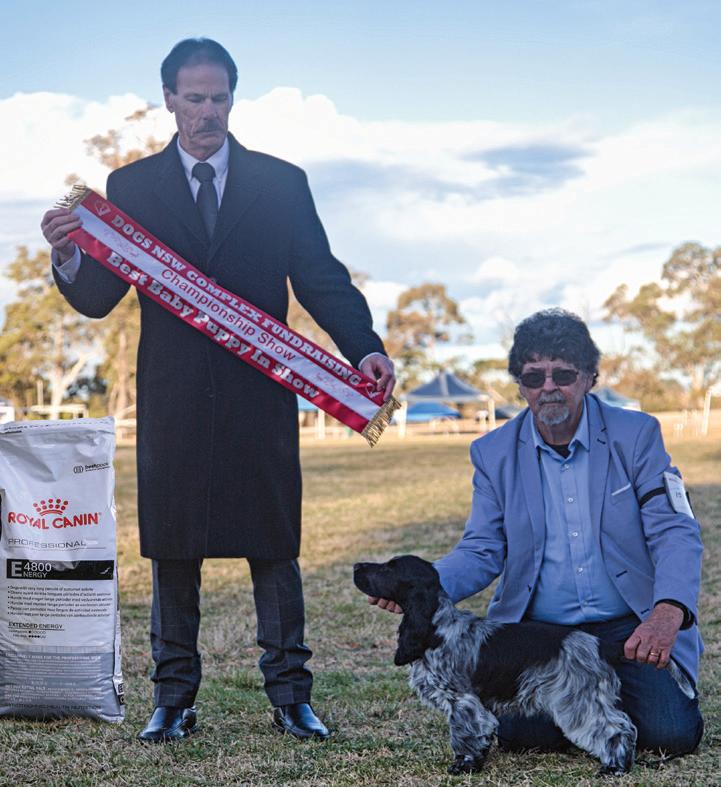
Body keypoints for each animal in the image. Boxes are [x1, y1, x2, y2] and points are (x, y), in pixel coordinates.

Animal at [353, 555, 694, 776]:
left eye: (390, 567)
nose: (356, 566)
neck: (436, 627)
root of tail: (598, 644)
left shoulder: (463, 701)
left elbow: (465, 734)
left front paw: (463, 766)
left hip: (577, 699)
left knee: (618, 727)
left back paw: (614, 768)